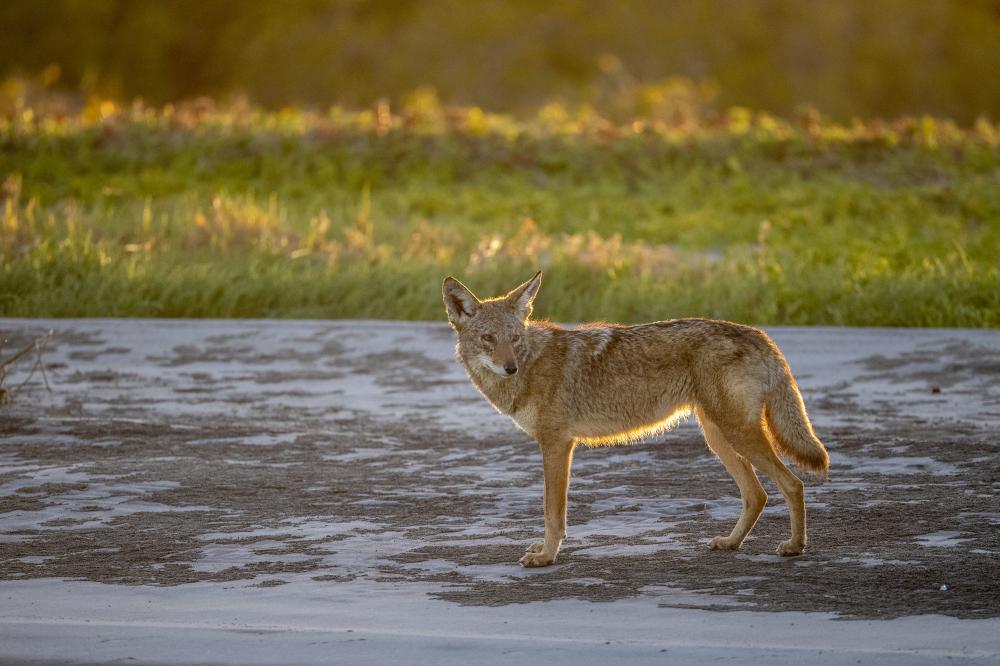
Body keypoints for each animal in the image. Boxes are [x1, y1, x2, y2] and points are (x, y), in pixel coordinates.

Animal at [443, 271, 829, 567]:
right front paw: (543, 550)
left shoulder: (557, 444)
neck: (531, 364)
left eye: (514, 338)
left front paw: (547, 556)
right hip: (718, 439)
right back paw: (731, 543)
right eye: (488, 339)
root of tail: (759, 333)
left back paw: (795, 547)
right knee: (757, 495)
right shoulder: (556, 445)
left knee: (793, 484)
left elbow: (553, 511)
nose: (510, 367)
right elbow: (553, 511)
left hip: (737, 435)